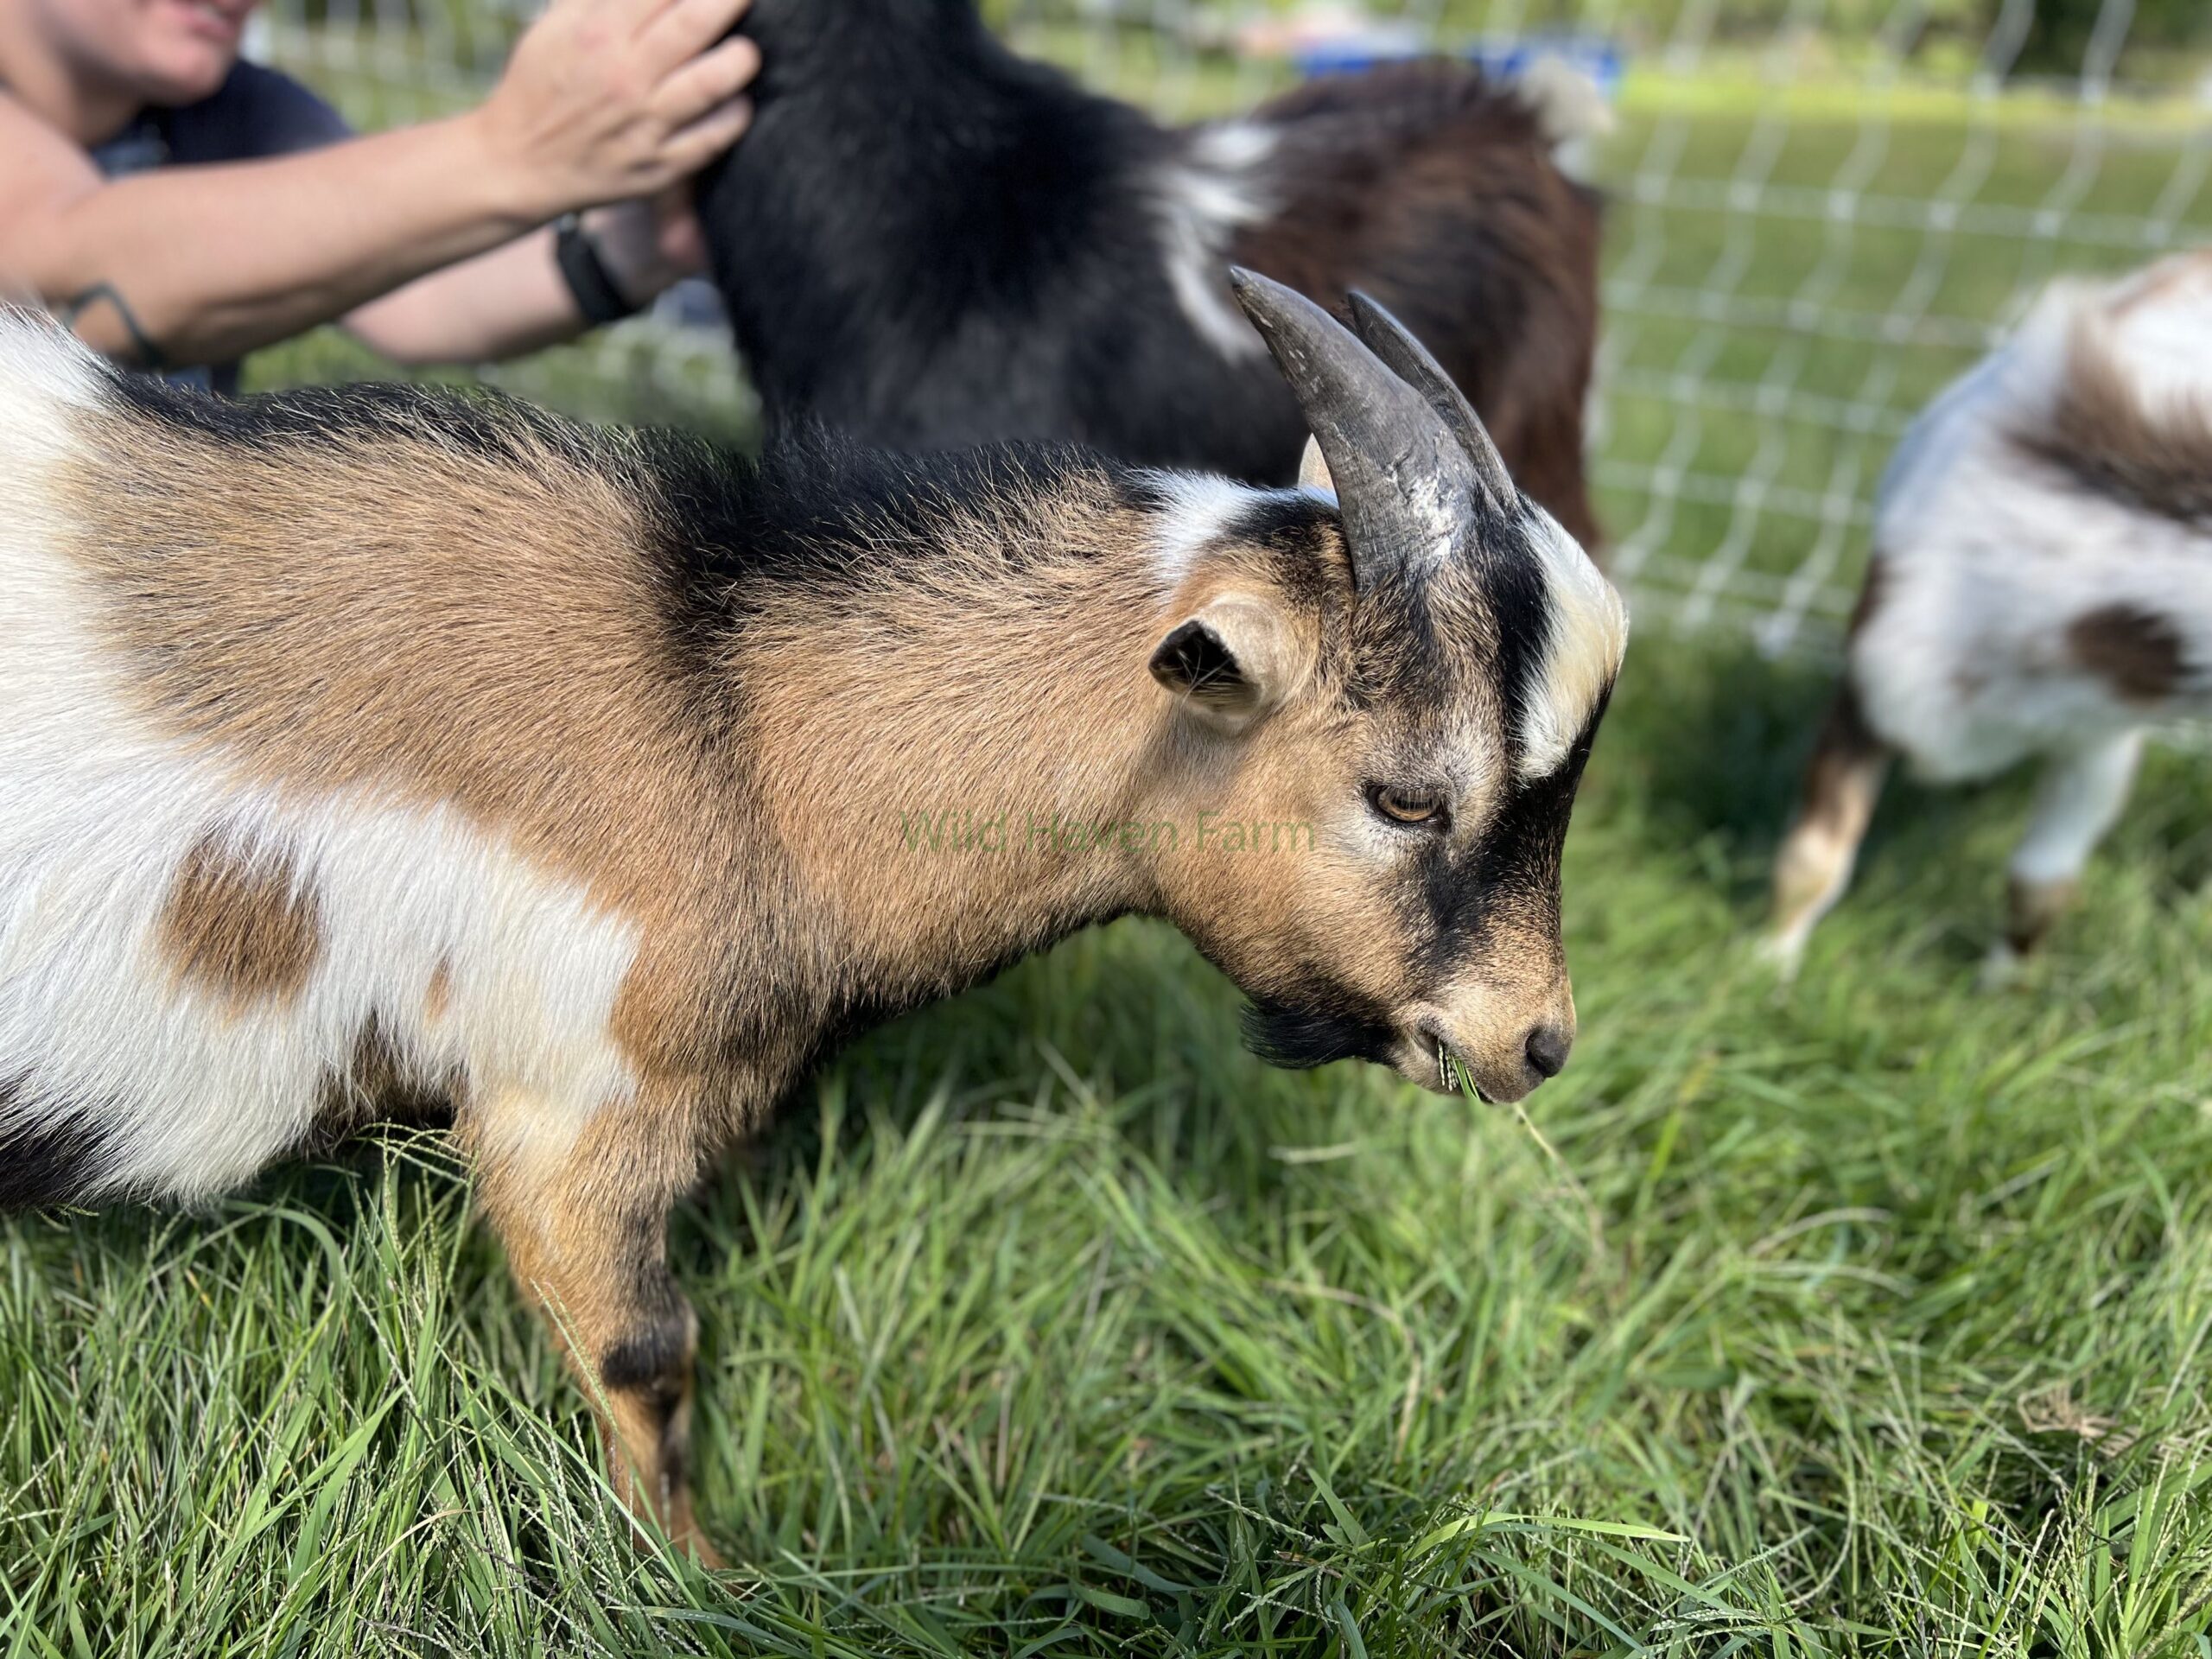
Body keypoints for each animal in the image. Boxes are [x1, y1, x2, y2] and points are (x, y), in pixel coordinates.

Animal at [0, 274, 1625, 1557]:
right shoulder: (564, 1108)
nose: (1536, 1043)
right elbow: (648, 1355)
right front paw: (693, 1582)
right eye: (1405, 796)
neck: (731, 716)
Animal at [1765, 251, 2212, 979]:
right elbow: (1813, 858)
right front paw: (1763, 968)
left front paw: (2003, 987)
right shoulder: (1876, 681)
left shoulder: (2097, 737)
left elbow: (2039, 885)